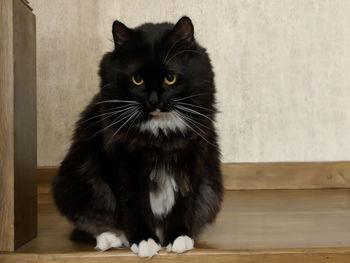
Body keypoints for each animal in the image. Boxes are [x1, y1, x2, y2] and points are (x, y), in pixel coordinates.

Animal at [51, 16, 221, 258]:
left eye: (170, 79)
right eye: (137, 79)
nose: (154, 100)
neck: (160, 135)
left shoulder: (191, 163)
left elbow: (182, 204)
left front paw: (178, 238)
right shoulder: (123, 167)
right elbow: (134, 206)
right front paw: (143, 241)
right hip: (73, 184)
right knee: (90, 224)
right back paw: (111, 239)